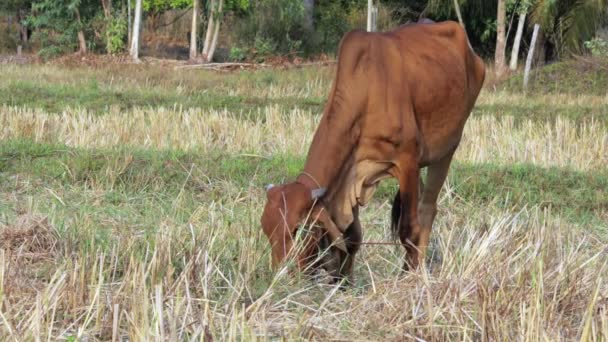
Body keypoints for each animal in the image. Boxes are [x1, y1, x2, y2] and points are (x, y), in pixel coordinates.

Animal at [260, 20, 484, 284]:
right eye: (266, 230)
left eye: (298, 230)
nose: (281, 279)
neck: (366, 92)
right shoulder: (351, 172)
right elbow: (352, 236)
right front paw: (343, 283)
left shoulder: (406, 162)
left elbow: (408, 229)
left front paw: (406, 278)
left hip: (446, 150)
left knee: (427, 209)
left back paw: (415, 270)